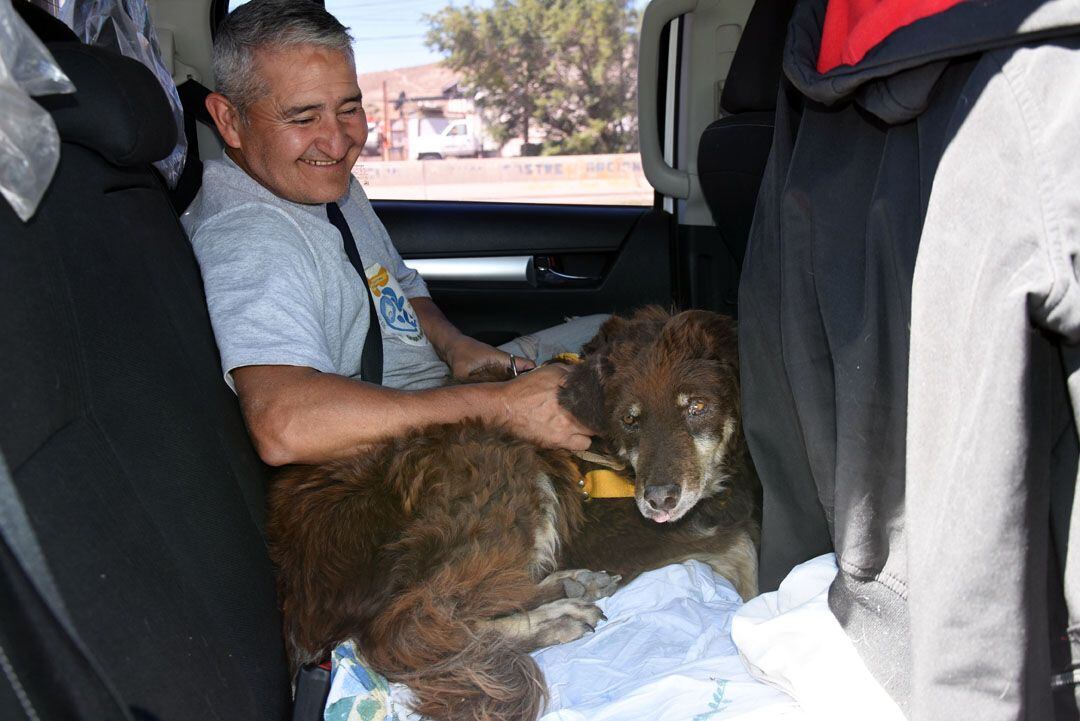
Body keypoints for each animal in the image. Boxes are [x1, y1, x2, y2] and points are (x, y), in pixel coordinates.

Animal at [266, 306, 760, 721]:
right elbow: (740, 544)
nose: (659, 500)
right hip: (499, 461)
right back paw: (555, 619)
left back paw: (569, 586)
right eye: (630, 420)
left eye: (697, 407)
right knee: (413, 629)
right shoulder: (619, 532)